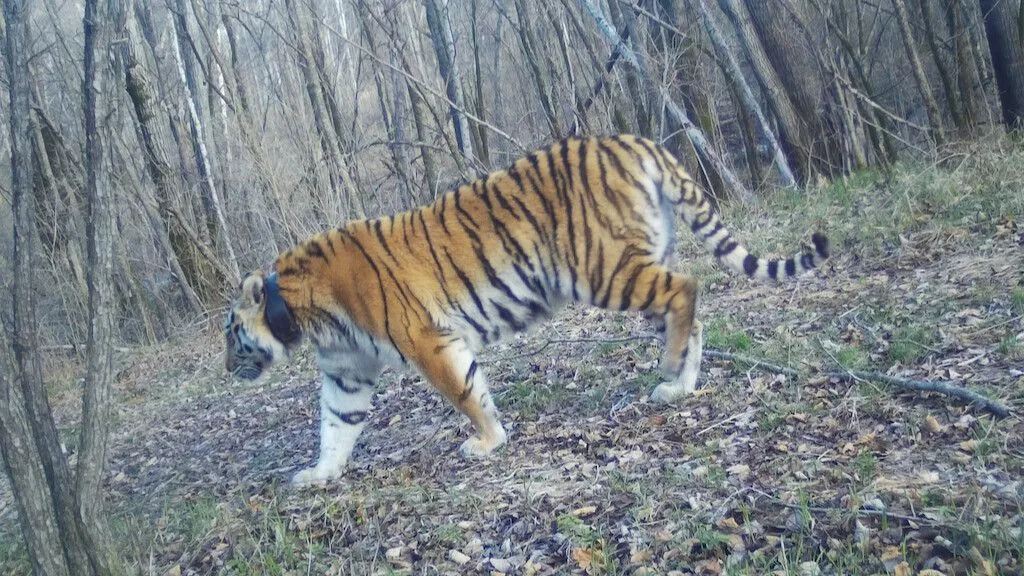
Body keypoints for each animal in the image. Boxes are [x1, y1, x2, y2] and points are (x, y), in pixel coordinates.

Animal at [226, 133, 831, 479]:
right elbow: (337, 424)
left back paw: (669, 369)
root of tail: (635, 140)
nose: (228, 368)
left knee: (688, 288)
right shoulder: (347, 372)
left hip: (603, 269)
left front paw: (487, 442)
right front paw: (318, 475)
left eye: (231, 333)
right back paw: (679, 383)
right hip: (636, 264)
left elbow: (464, 392)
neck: (301, 313)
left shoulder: (427, 340)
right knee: (689, 311)